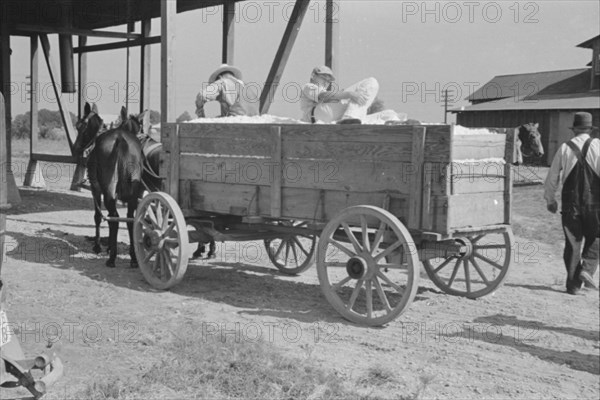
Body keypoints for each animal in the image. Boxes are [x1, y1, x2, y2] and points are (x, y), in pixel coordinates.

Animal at [74, 103, 145, 268]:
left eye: (79, 126)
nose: (75, 148)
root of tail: (120, 139)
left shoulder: (95, 189)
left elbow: (98, 216)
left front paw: (98, 246)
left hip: (108, 189)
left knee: (114, 217)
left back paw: (112, 258)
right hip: (133, 192)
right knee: (130, 218)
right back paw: (133, 257)